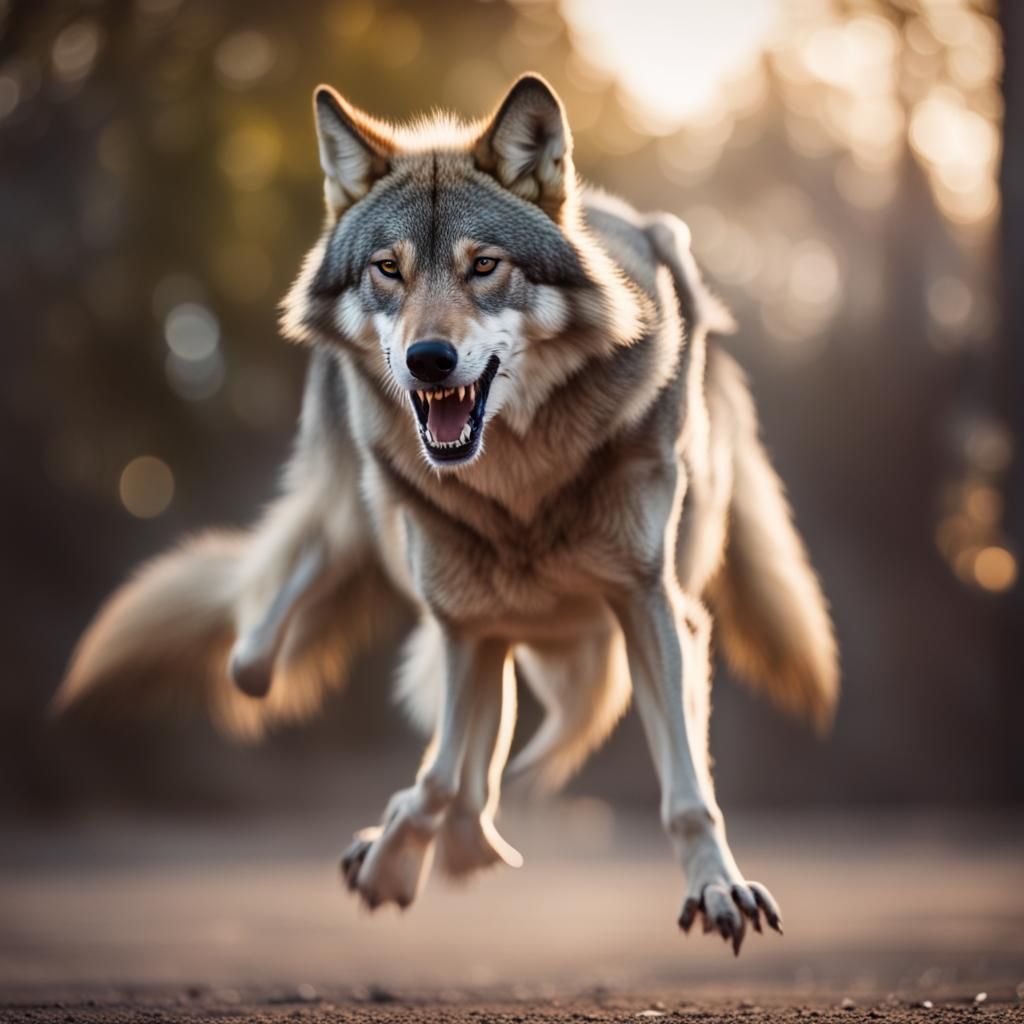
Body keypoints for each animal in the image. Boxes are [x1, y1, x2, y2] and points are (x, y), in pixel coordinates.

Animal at [56, 74, 838, 954]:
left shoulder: (649, 603)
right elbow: (439, 776)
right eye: (387, 270)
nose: (429, 360)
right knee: (259, 646)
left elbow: (681, 788)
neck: (517, 484)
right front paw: (393, 860)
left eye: (484, 265)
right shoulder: (464, 619)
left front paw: (718, 890)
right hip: (359, 530)